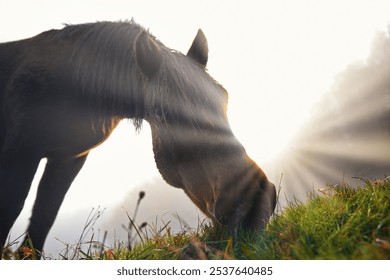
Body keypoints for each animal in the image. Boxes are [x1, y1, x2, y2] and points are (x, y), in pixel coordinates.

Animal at [0, 19, 278, 256]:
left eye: (225, 98)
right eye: (169, 115)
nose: (255, 202)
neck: (64, 88)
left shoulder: (67, 158)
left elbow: (44, 215)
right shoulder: (21, 154)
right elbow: (12, 207)